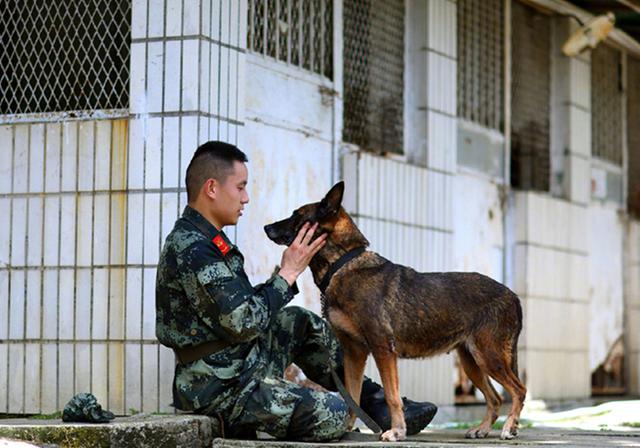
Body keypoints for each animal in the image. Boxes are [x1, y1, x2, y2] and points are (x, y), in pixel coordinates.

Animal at [264, 182, 524, 440]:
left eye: (297, 215)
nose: (266, 227)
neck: (342, 264)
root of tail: (513, 296)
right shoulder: (354, 353)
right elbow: (352, 397)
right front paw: (346, 429)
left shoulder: (383, 350)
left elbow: (391, 396)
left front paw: (397, 431)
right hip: (472, 363)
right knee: (496, 397)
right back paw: (483, 428)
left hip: (489, 357)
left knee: (518, 390)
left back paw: (509, 428)